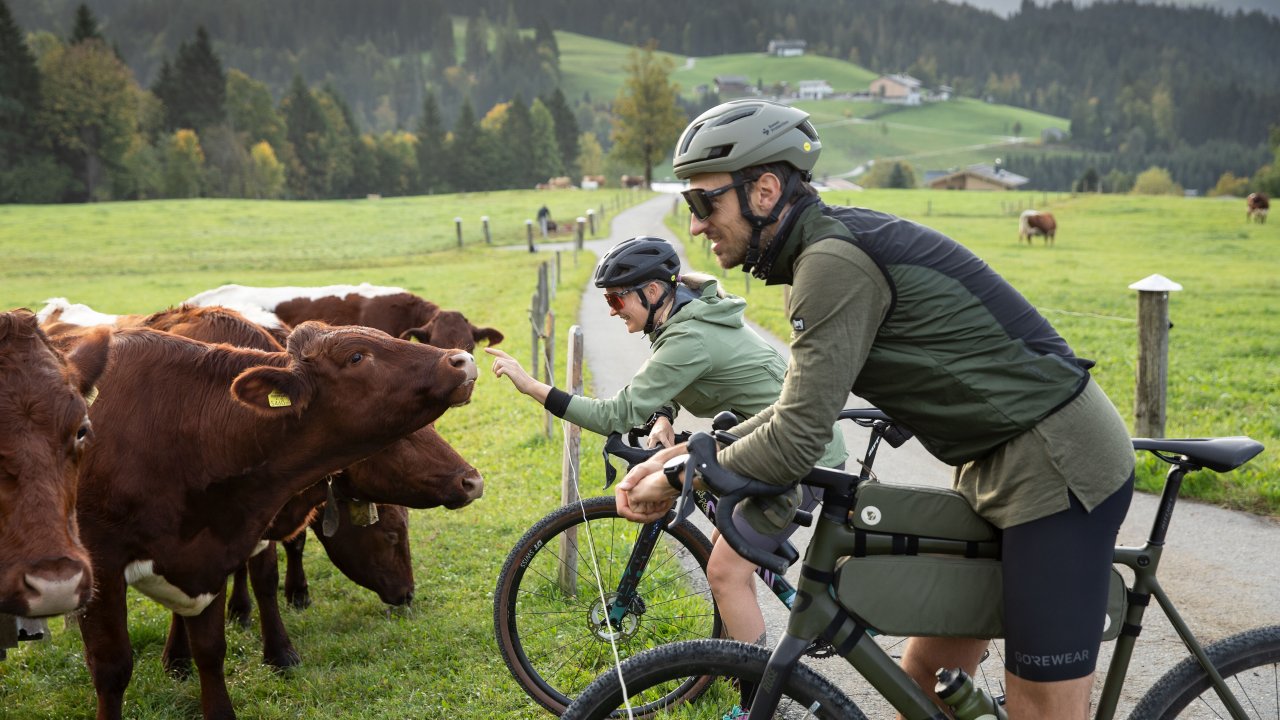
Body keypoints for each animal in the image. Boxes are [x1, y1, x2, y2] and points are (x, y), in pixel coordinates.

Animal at [52, 320, 478, 717]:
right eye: (356, 356)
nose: (462, 360)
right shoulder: (105, 568)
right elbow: (112, 667)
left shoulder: (214, 551)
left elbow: (213, 646)